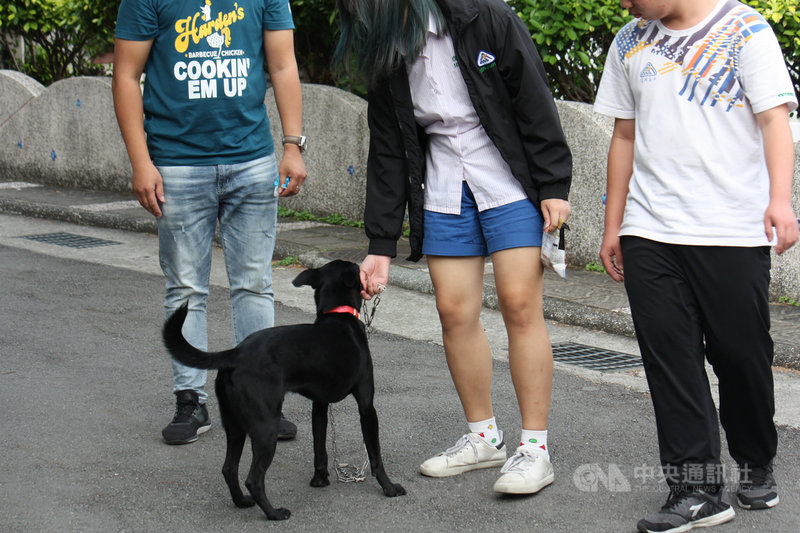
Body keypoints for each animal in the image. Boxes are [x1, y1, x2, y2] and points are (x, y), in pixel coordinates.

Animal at [161, 260, 406, 516]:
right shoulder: (367, 407)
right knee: (253, 478)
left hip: (234, 424)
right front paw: (390, 488)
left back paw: (242, 502)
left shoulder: (319, 406)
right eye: (358, 270)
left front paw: (319, 480)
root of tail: (236, 353)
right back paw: (274, 513)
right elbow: (375, 454)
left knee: (229, 468)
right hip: (266, 427)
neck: (337, 315)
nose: (366, 272)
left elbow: (320, 447)